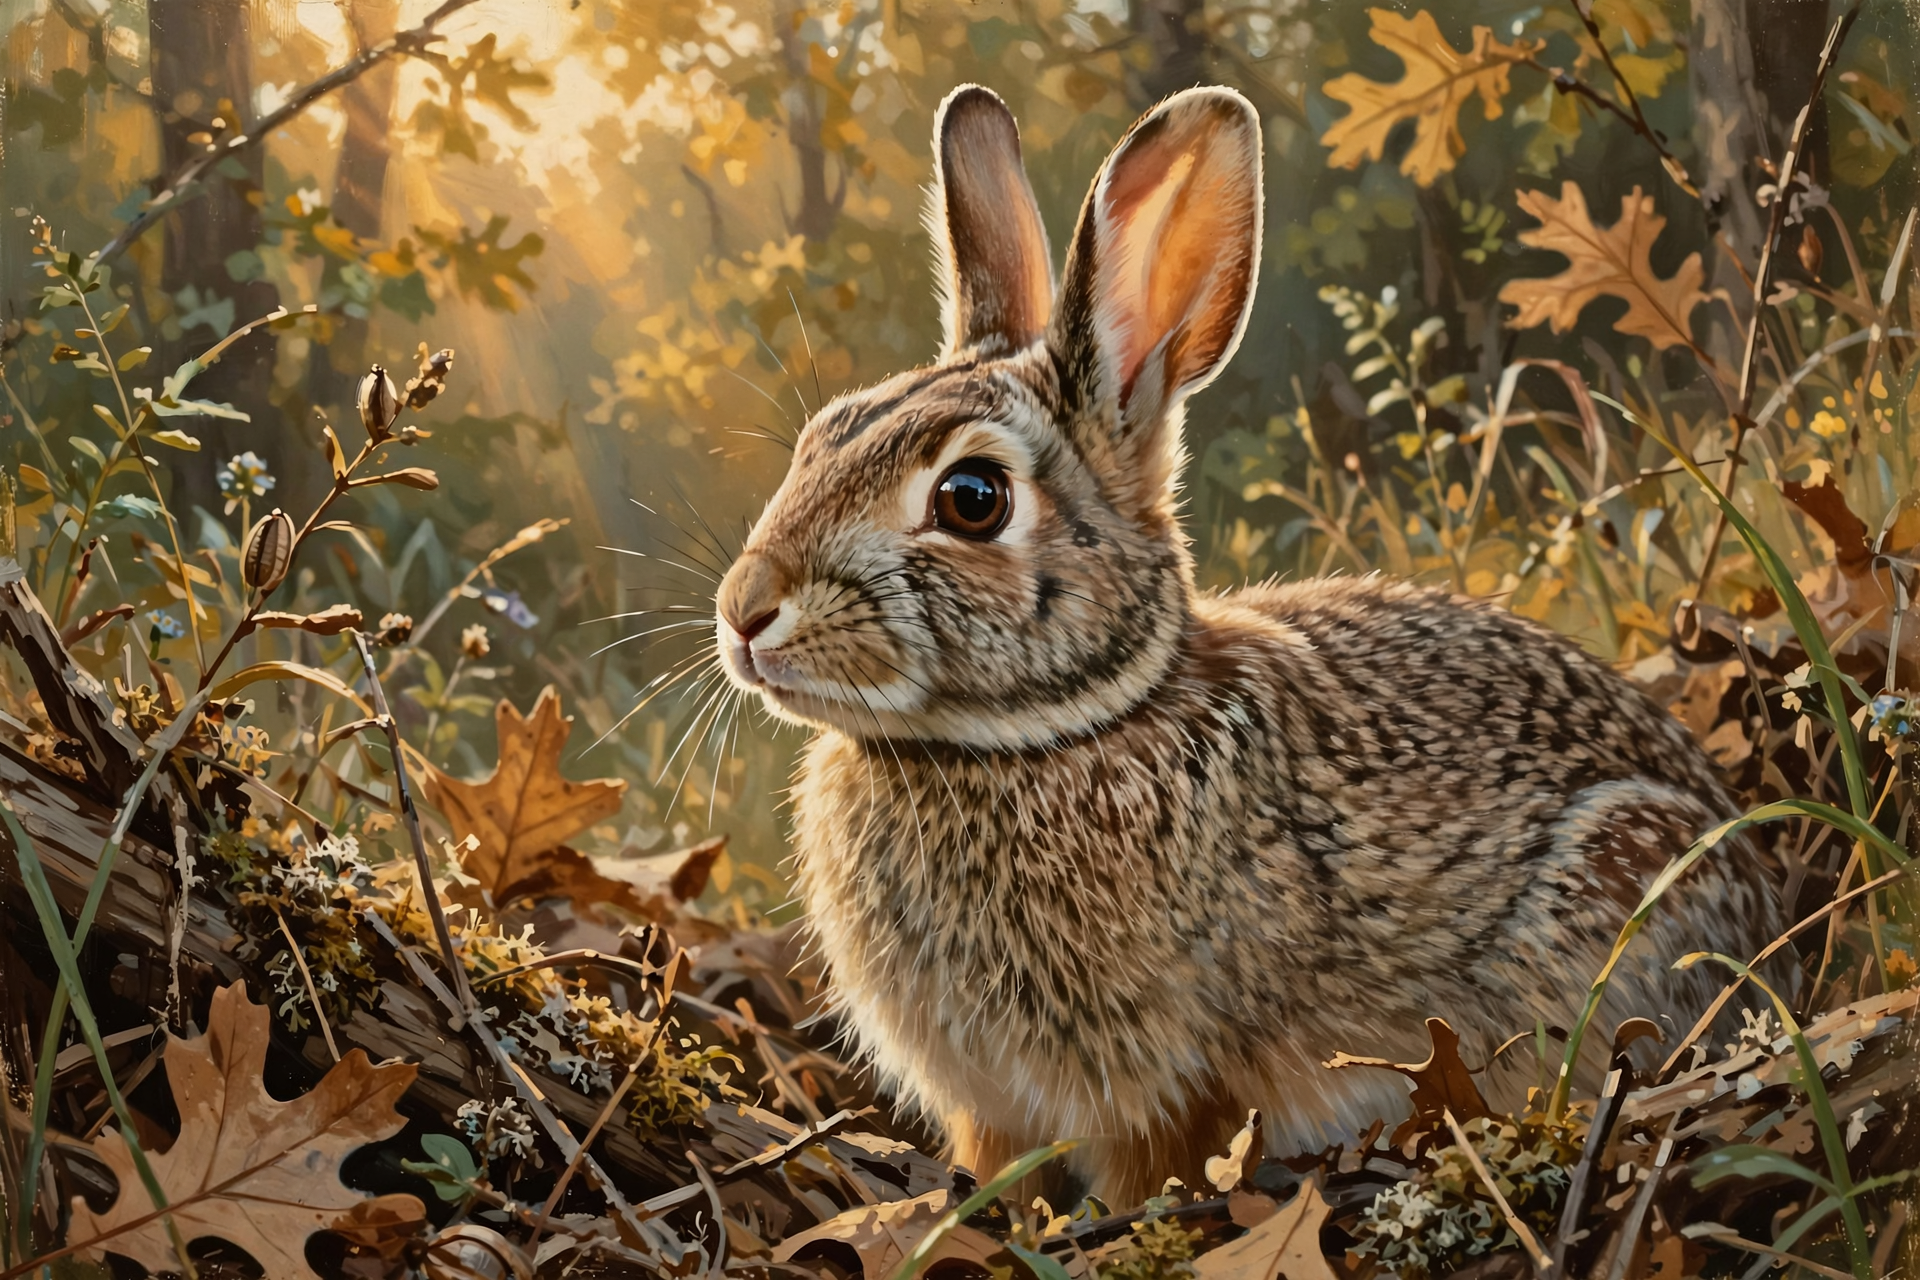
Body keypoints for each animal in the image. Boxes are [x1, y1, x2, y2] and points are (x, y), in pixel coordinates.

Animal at [711, 83, 1784, 1207]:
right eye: (821, 435)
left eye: (972, 498)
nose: (745, 611)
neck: (1050, 732)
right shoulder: (992, 1102)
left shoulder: (1161, 1084)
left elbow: (1148, 1174)